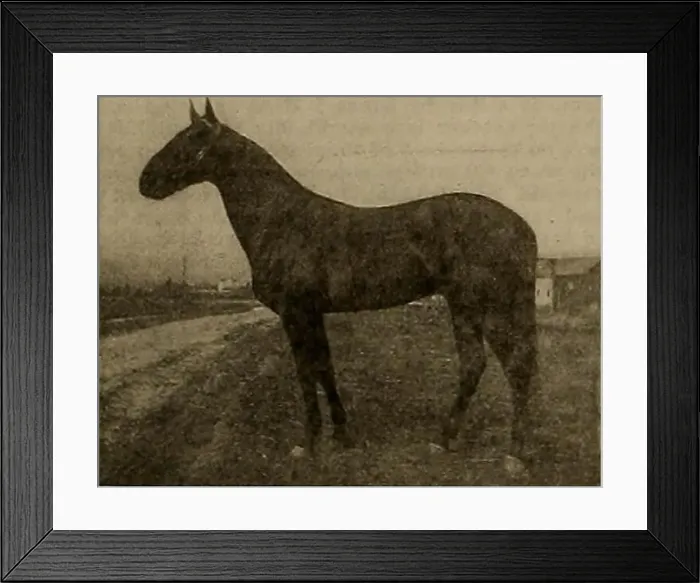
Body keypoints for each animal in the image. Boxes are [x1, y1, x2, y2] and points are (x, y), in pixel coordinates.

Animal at [139, 98, 540, 467]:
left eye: (194, 138)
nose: (145, 182)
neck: (281, 219)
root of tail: (521, 226)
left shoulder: (295, 312)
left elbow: (305, 372)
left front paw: (308, 444)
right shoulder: (313, 313)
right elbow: (324, 368)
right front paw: (342, 435)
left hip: (490, 307)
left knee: (515, 366)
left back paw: (514, 455)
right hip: (464, 306)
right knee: (475, 364)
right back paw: (443, 440)